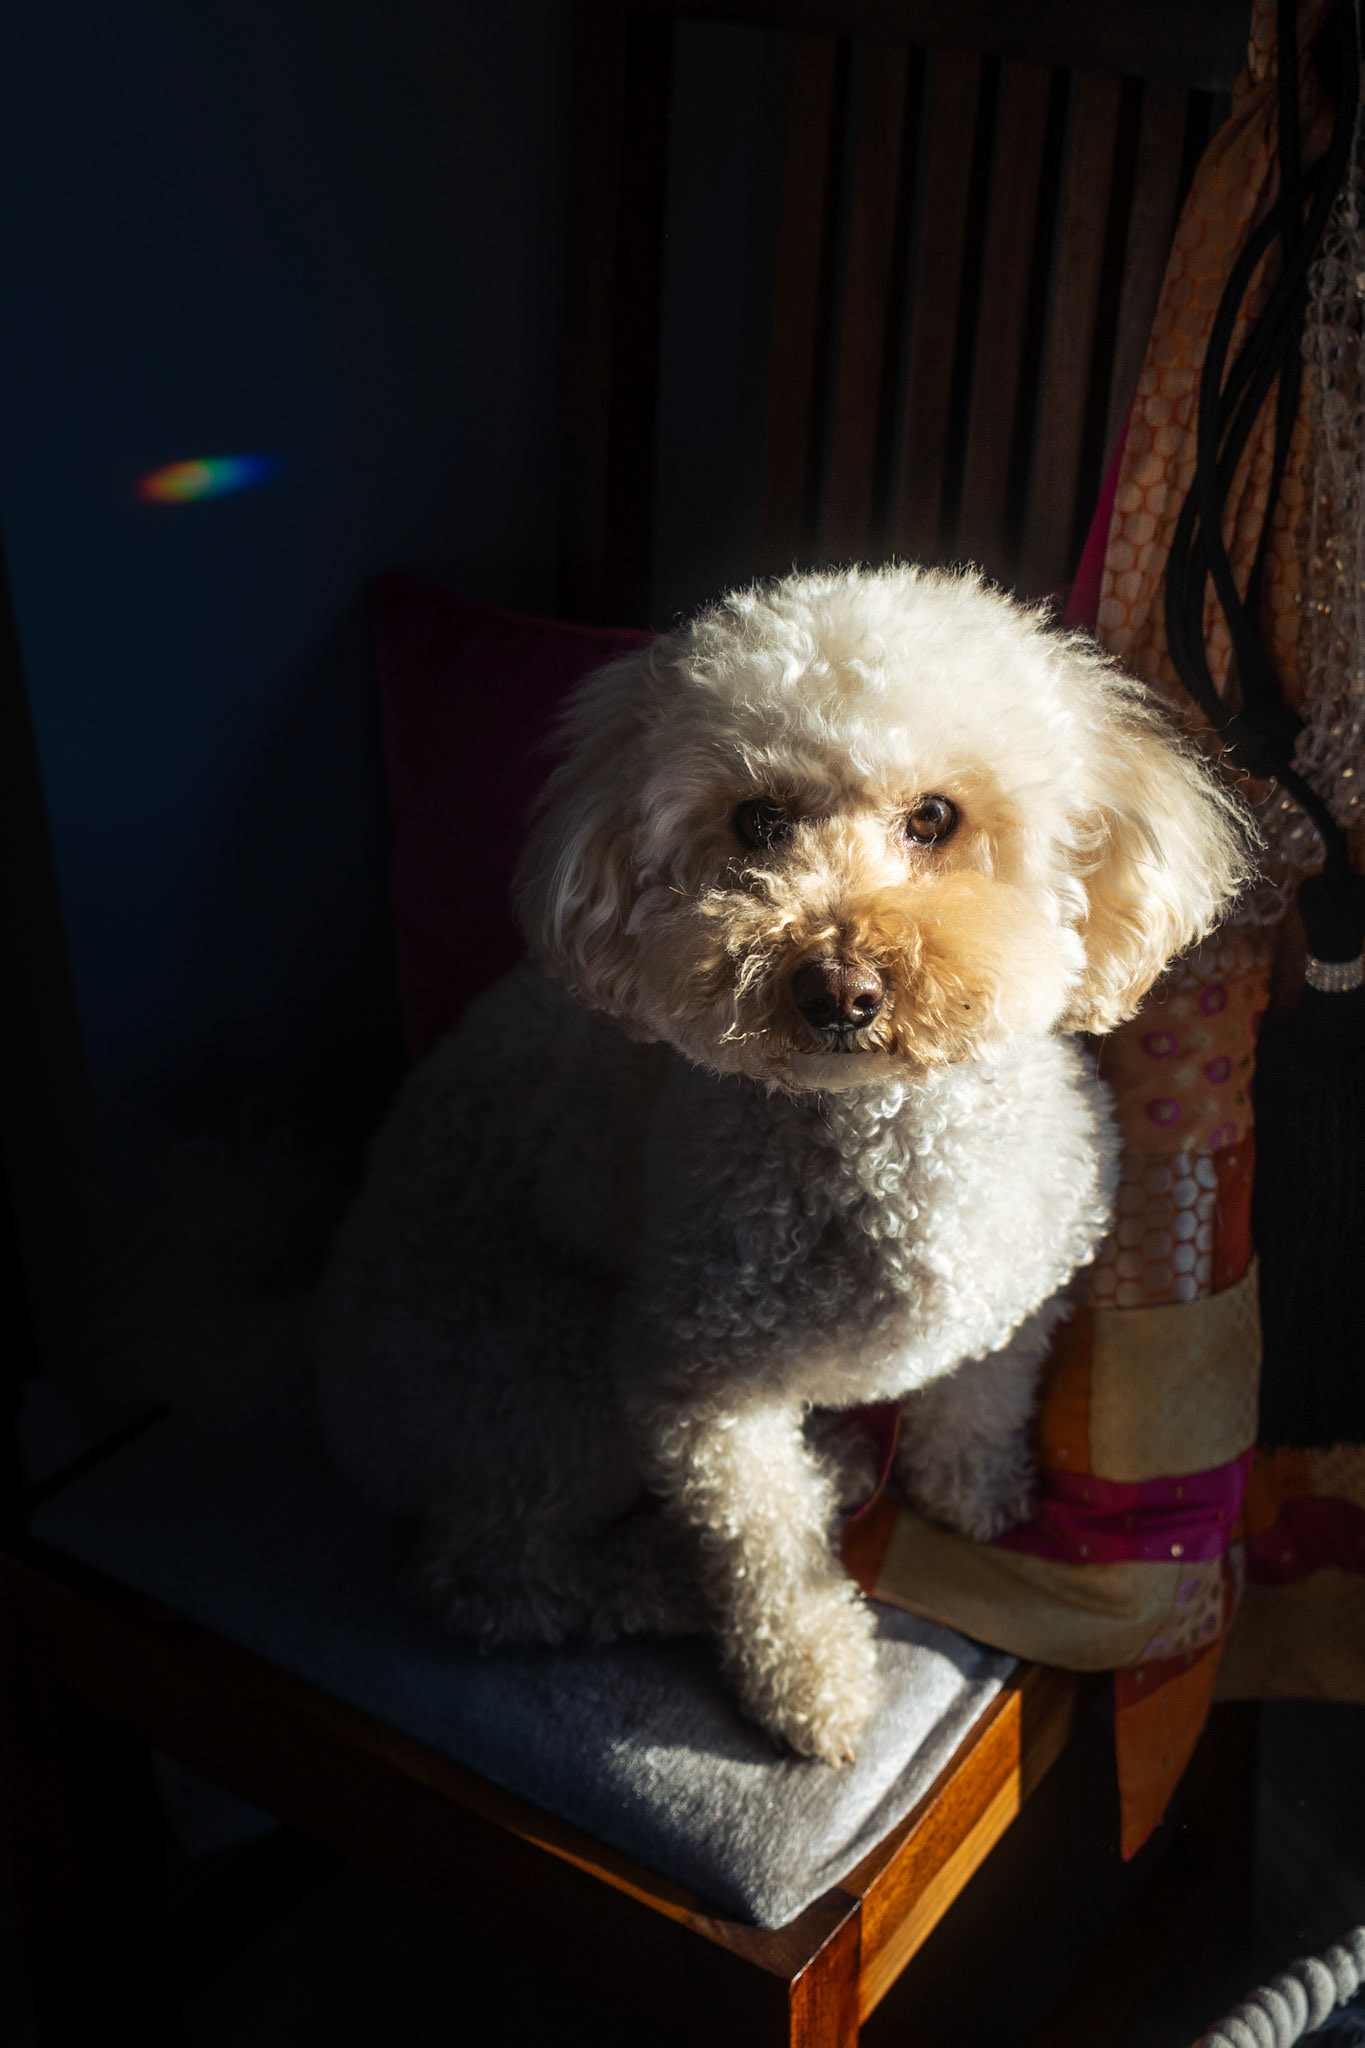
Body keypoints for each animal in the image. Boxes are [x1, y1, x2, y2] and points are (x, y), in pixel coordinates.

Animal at [314, 564, 1251, 1764]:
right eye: (756, 821)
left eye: (935, 818)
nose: (836, 987)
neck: (884, 1134)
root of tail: (335, 1406)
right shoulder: (698, 1390)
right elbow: (767, 1554)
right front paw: (814, 1683)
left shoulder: (1018, 1298)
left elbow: (979, 1399)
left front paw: (970, 1490)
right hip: (542, 1372)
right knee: (488, 1578)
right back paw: (663, 1579)